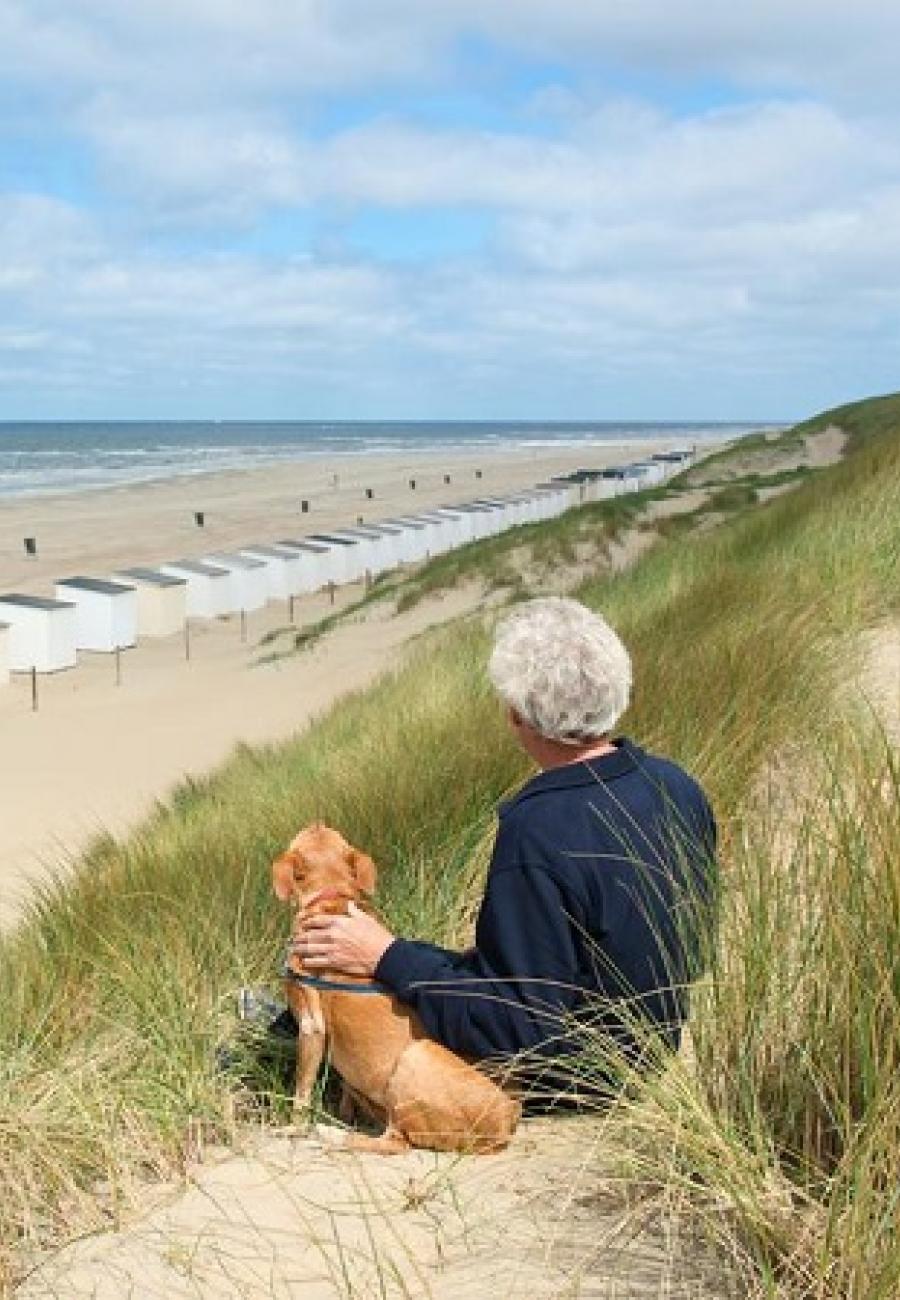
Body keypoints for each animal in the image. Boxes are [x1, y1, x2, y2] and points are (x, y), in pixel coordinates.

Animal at [270, 826, 520, 1154]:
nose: (317, 821)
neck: (332, 896)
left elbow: (302, 1091)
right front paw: (346, 1112)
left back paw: (328, 1134)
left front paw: (293, 1125)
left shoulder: (311, 1026)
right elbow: (346, 1090)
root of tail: (507, 1120)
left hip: (415, 1058)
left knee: (395, 1142)